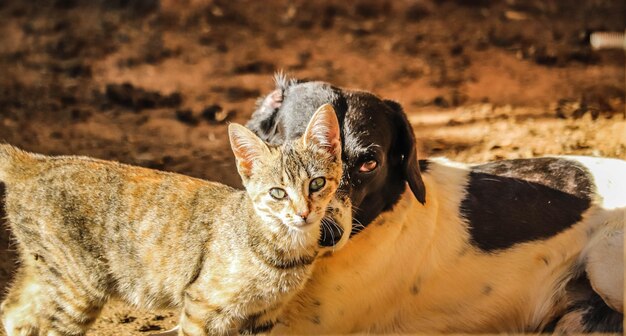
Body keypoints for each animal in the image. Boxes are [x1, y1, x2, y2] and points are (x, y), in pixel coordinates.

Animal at [0, 103, 346, 334]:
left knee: (12, 312)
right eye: (277, 193)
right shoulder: (201, 308)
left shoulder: (264, 317)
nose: (303, 213)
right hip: (80, 289)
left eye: (316, 184)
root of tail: (37, 161)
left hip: (52, 278)